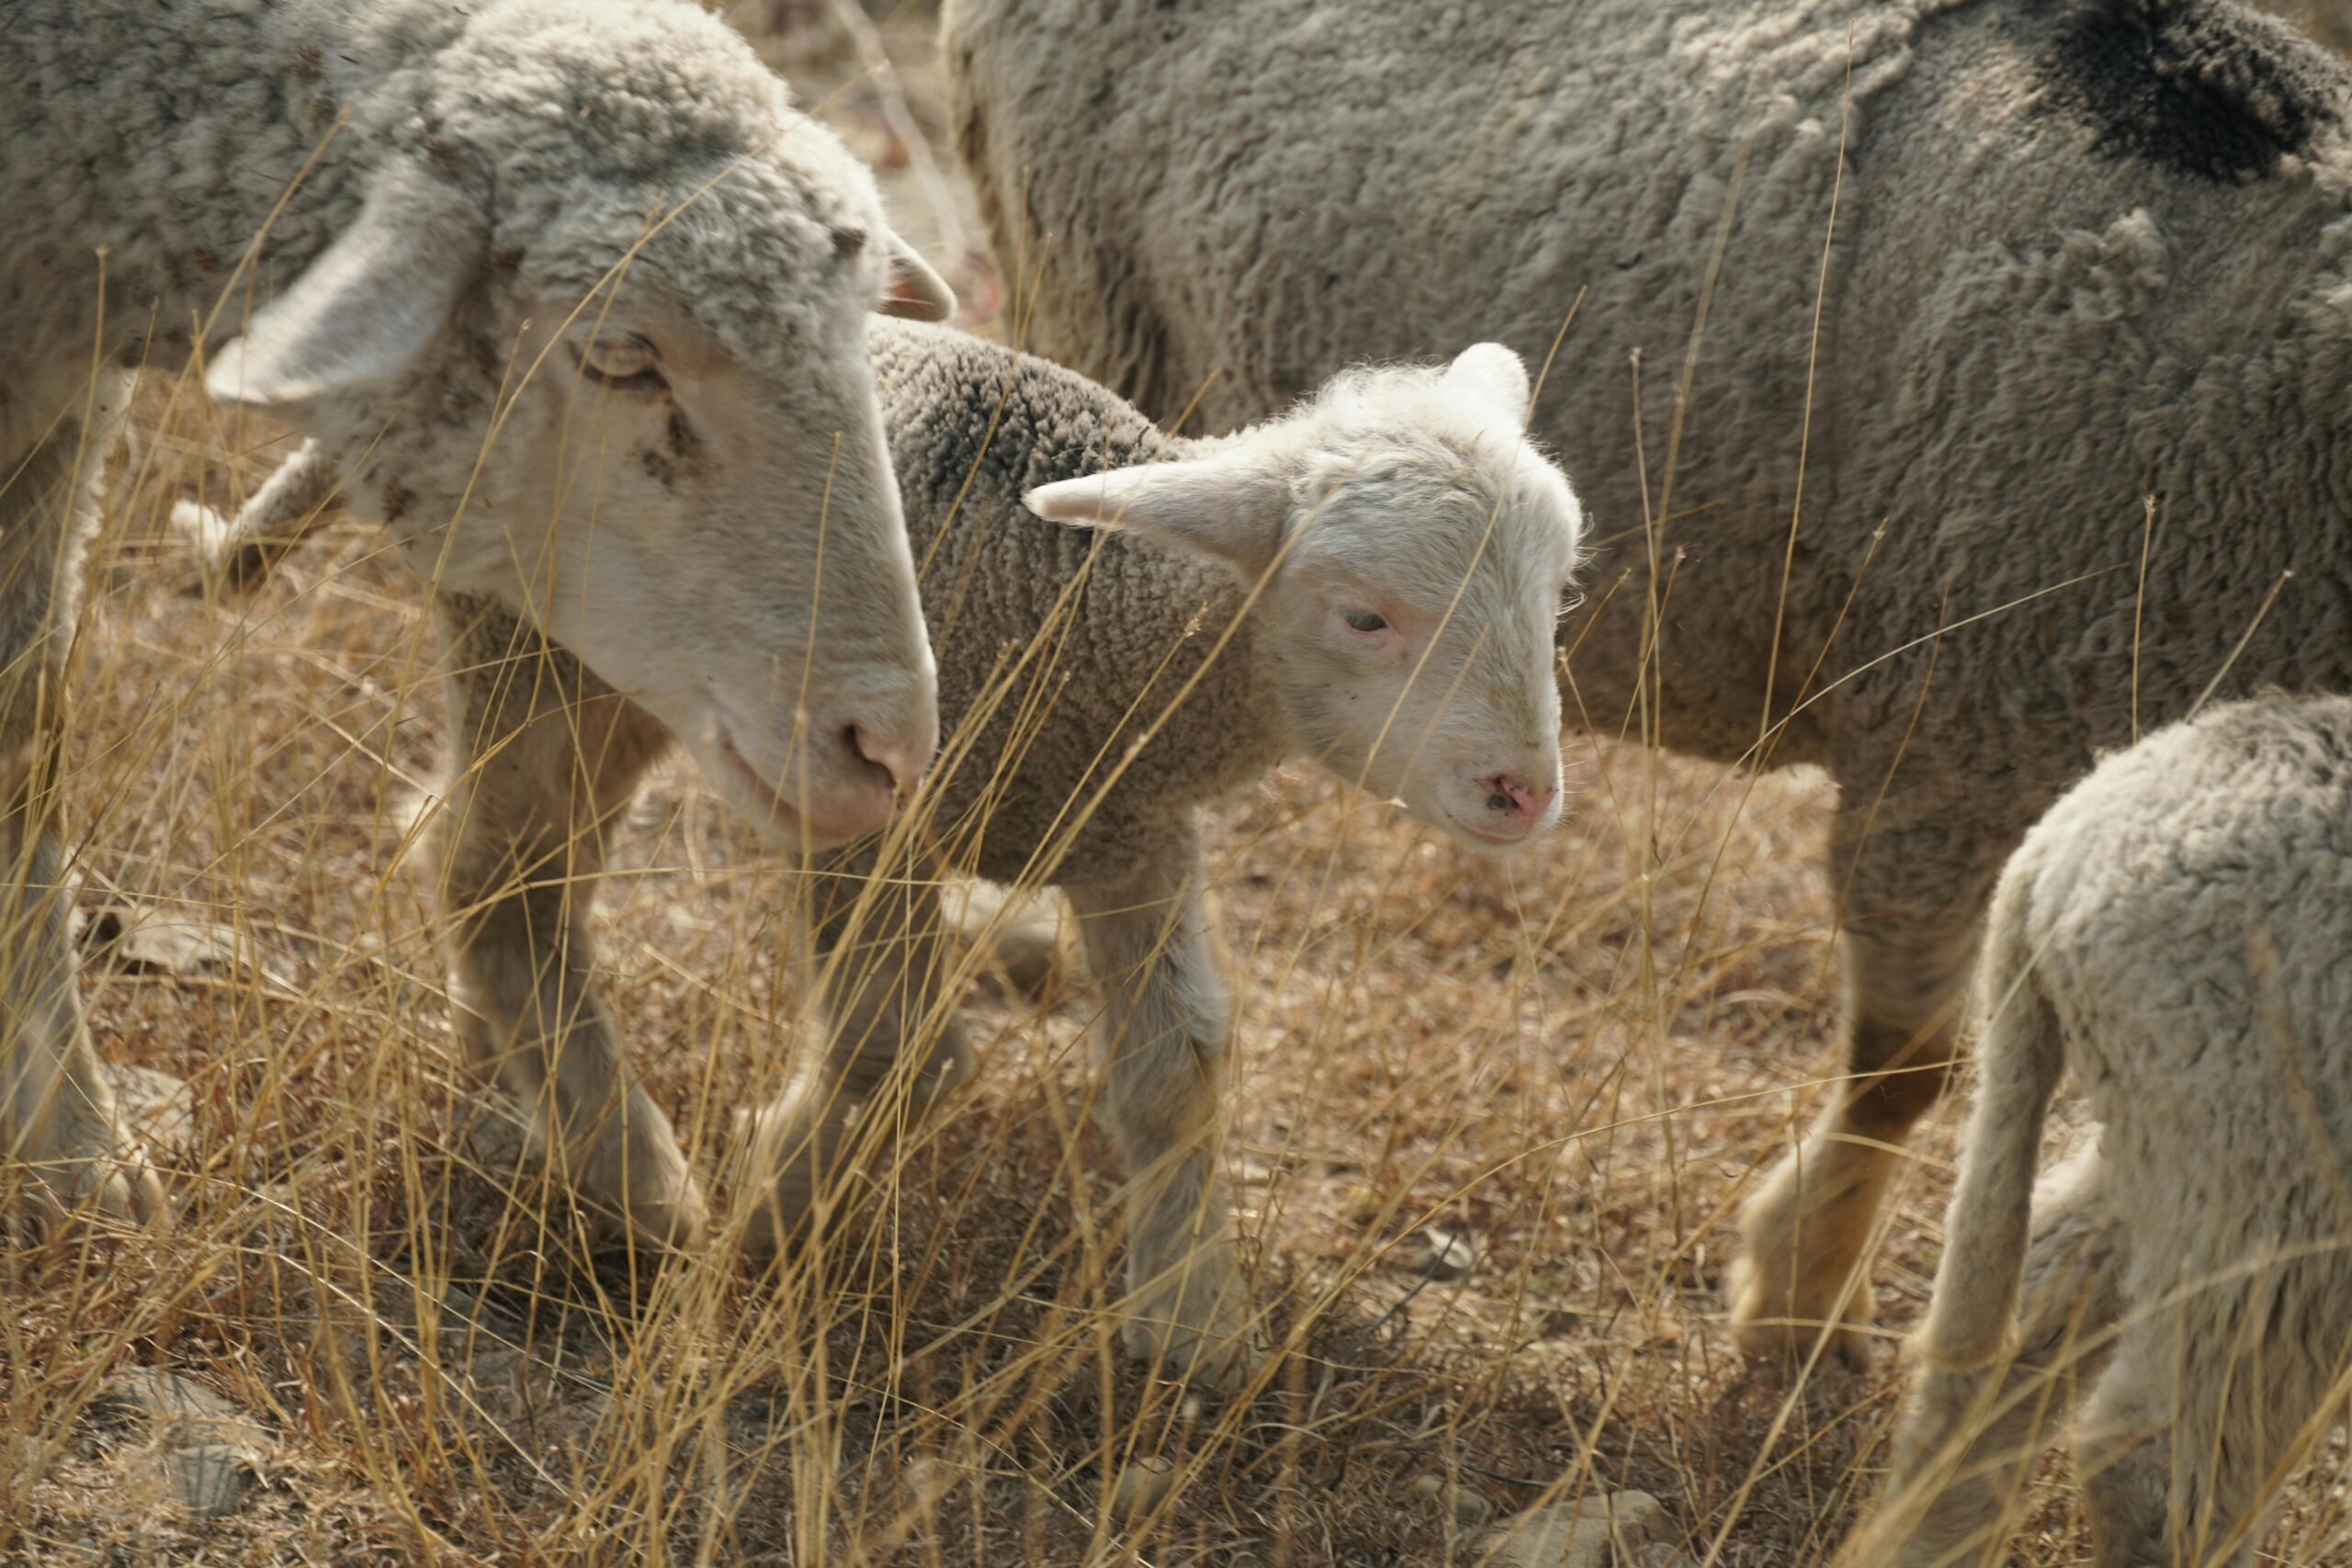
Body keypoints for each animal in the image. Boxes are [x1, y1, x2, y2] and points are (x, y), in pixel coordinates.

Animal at [1, 0, 958, 1241]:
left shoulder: (61, 405)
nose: (887, 748)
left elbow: (23, 734)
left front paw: (66, 1144)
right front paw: (79, 1148)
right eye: (620, 355)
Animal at [422, 319, 1584, 1385]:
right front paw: (773, 1200)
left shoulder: (1126, 828)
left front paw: (1192, 1317)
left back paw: (512, 1069)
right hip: (534, 647)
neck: (1069, 601)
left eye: (1556, 596)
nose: (1522, 794)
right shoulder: (871, 814)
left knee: (459, 840)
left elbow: (1176, 1067)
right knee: (499, 878)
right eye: (1363, 618)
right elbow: (895, 1048)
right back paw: (632, 1176)